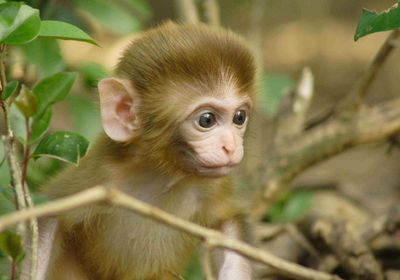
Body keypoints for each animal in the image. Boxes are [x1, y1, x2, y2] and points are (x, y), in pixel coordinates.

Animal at [38, 21, 256, 280]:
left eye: (239, 117)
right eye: (207, 120)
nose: (230, 146)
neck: (162, 173)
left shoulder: (211, 185)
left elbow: (226, 225)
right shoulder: (99, 177)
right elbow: (50, 217)